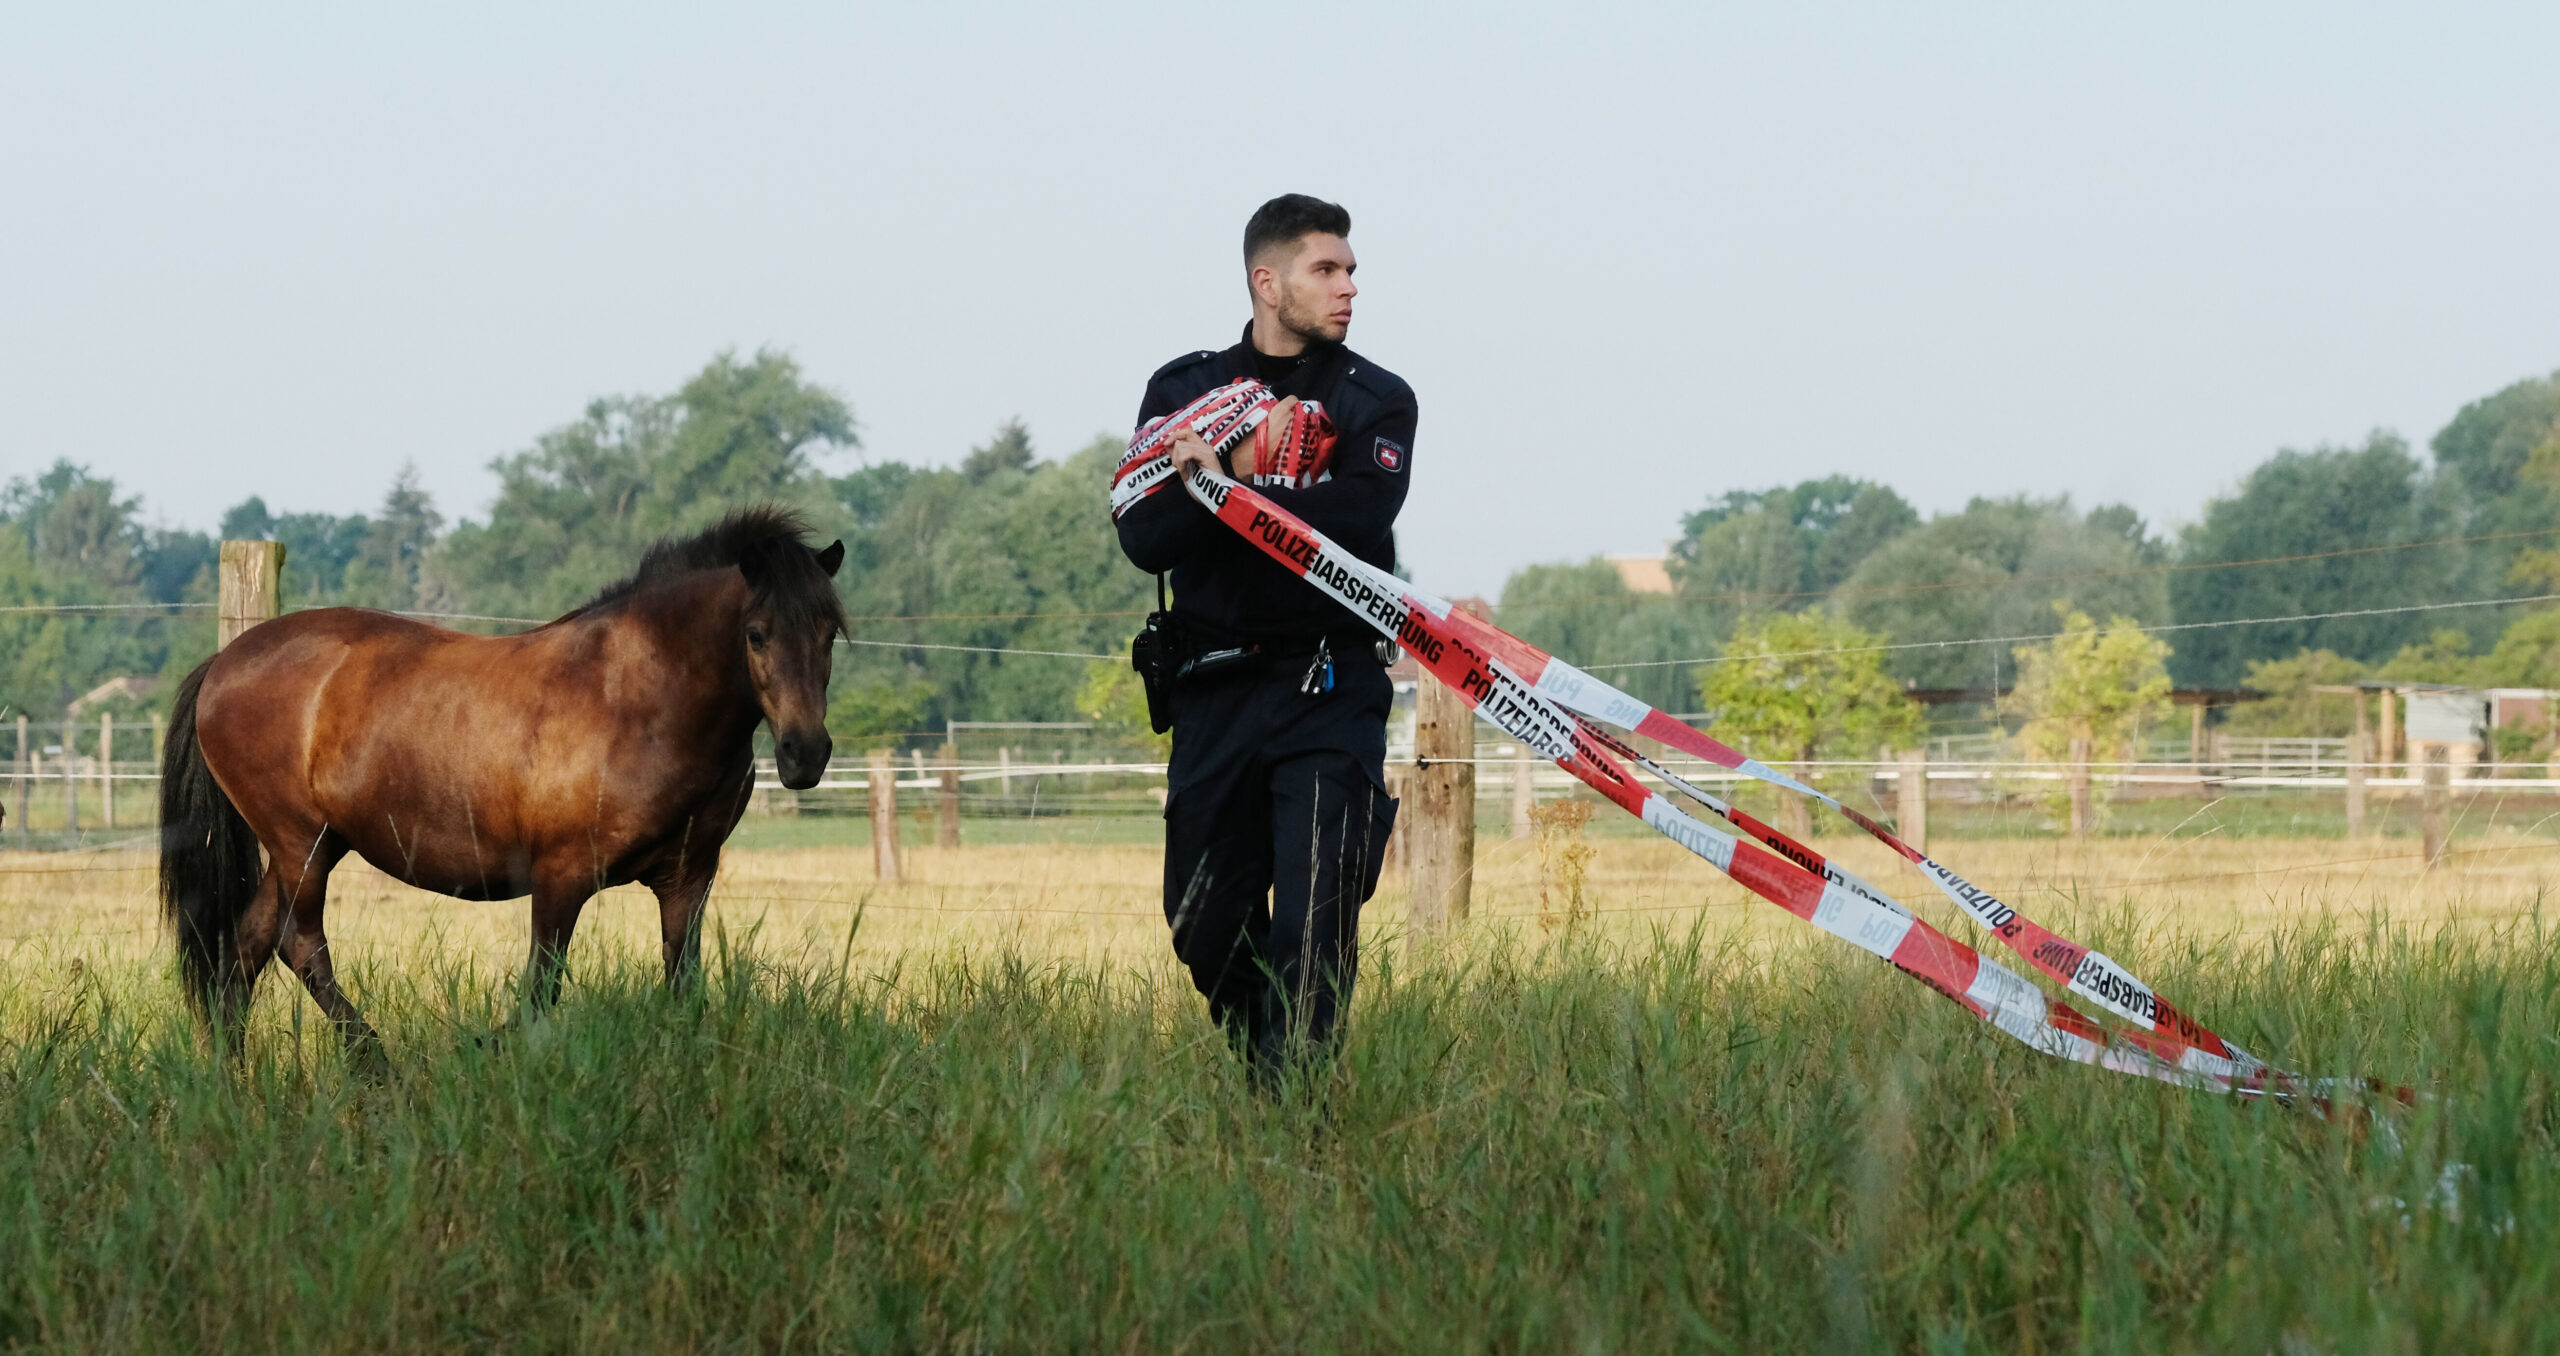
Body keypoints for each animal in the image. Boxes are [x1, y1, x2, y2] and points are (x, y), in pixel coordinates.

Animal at [158, 506, 847, 1059]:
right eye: (756, 634)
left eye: (829, 632)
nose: (805, 753)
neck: (638, 699)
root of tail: (224, 662)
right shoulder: (562, 876)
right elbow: (541, 991)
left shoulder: (687, 876)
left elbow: (683, 986)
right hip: (301, 843)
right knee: (299, 947)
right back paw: (377, 1066)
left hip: (310, 847)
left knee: (245, 949)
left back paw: (235, 1078)